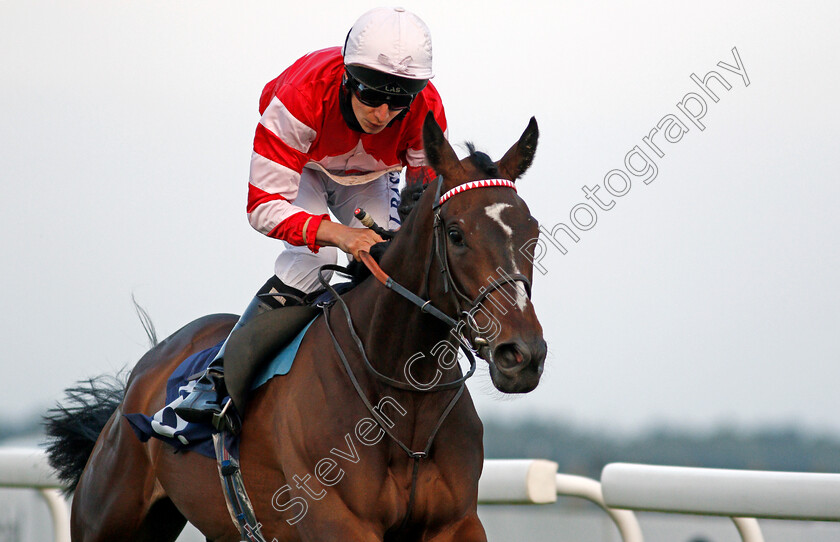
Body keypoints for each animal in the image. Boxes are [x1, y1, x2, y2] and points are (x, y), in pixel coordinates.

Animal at [47, 112, 544, 540]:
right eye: (456, 234)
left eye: (533, 233)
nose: (523, 355)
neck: (406, 406)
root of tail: (143, 374)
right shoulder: (337, 522)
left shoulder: (456, 523)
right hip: (108, 516)